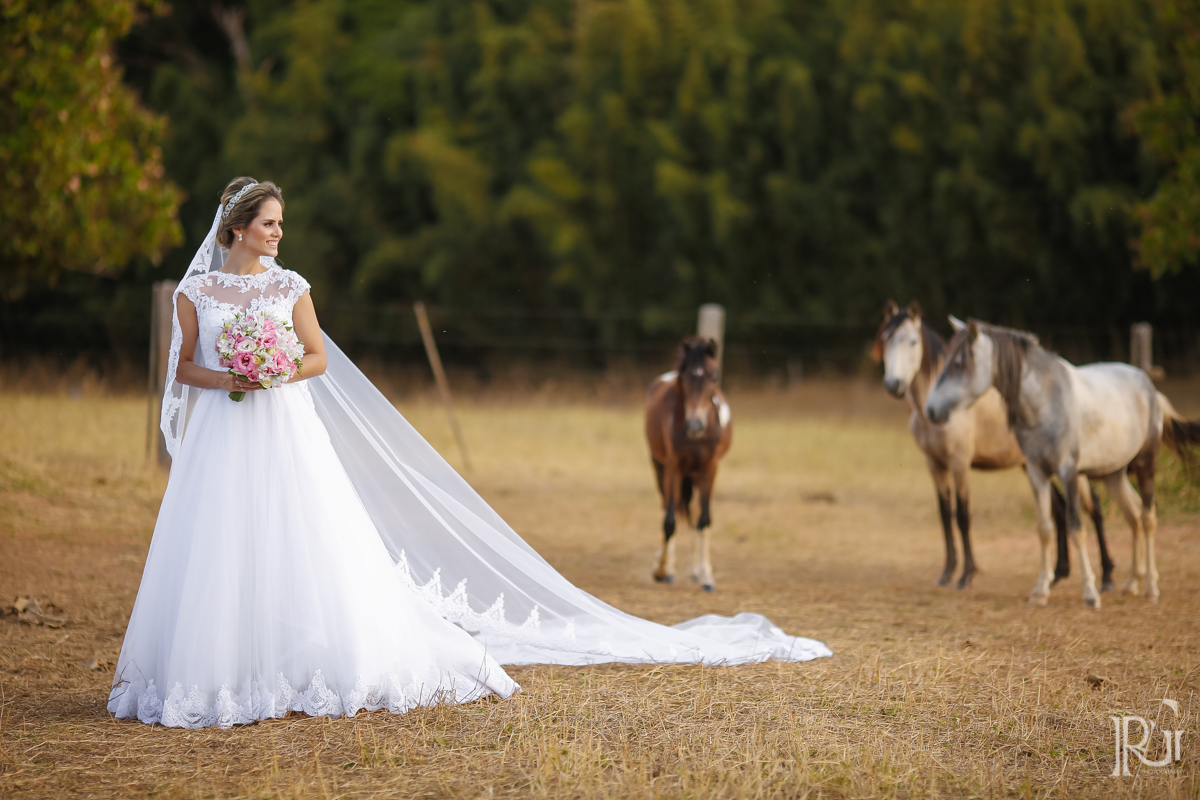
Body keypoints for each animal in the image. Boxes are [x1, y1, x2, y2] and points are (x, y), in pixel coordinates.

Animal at [645, 337, 733, 592]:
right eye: (684, 378)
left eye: (714, 377)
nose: (695, 425)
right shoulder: (672, 467)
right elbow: (669, 521)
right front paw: (661, 570)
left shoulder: (710, 469)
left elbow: (704, 520)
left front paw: (706, 576)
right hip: (660, 467)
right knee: (670, 506)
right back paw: (669, 569)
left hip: (694, 475)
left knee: (693, 513)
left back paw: (695, 572)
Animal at [872, 301, 1113, 590]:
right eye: (885, 339)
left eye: (912, 341)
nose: (893, 385)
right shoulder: (934, 465)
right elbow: (945, 515)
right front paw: (947, 573)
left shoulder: (959, 464)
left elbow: (962, 516)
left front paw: (966, 575)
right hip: (1033, 467)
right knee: (1059, 509)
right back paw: (1057, 574)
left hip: (1072, 470)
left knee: (1094, 508)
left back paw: (1107, 577)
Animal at [926, 319, 1200, 606]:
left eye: (959, 363)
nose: (930, 410)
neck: (1044, 403)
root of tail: (1149, 387)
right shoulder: (1037, 472)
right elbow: (1044, 528)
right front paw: (1040, 592)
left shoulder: (1068, 472)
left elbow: (1076, 528)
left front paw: (1090, 593)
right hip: (1113, 474)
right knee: (1133, 515)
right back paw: (1131, 583)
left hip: (1146, 463)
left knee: (1147, 518)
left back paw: (1150, 588)